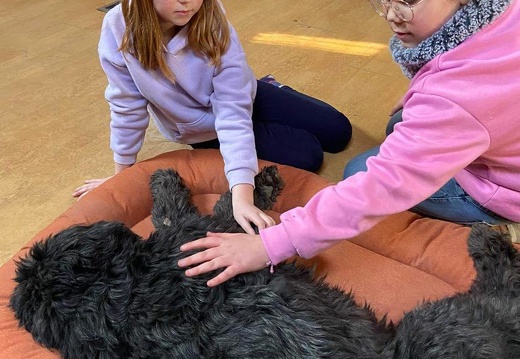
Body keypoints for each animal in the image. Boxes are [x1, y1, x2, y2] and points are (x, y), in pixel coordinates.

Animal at [8, 167, 520, 359]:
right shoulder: (199, 238)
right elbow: (199, 210)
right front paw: (167, 178)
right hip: (441, 321)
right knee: (503, 291)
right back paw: (488, 243)